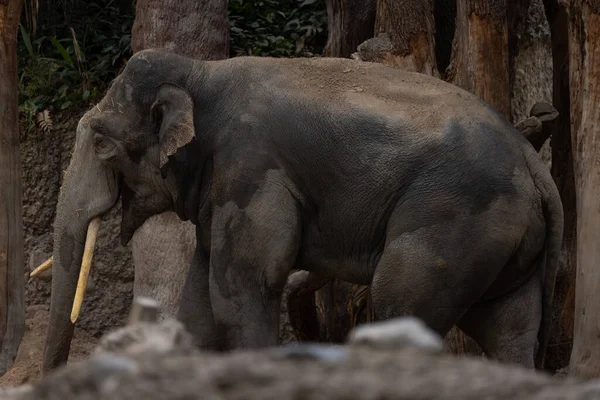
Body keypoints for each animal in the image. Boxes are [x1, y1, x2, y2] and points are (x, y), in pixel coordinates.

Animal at [42, 49, 564, 376]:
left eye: (101, 142)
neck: (202, 71)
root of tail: (533, 161)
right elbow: (199, 306)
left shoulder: (252, 166)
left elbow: (244, 289)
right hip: (506, 243)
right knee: (509, 331)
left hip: (455, 223)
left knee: (399, 305)